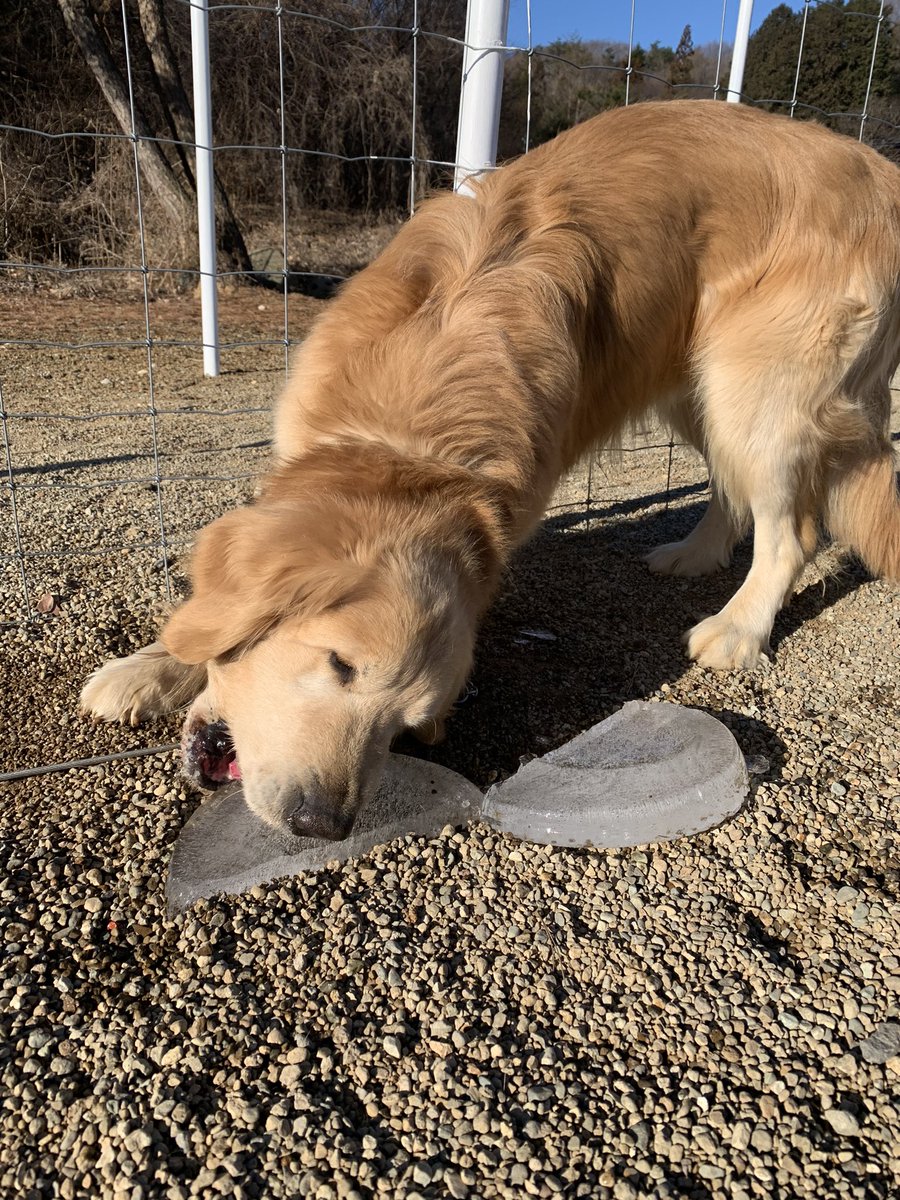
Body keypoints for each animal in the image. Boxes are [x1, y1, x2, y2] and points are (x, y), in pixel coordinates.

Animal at [79, 100, 900, 835]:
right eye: (340, 665)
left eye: (406, 727)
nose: (323, 824)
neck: (414, 444)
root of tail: (881, 168)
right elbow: (211, 618)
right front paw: (149, 666)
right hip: (696, 380)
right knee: (736, 490)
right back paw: (694, 555)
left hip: (753, 385)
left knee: (793, 530)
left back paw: (736, 627)